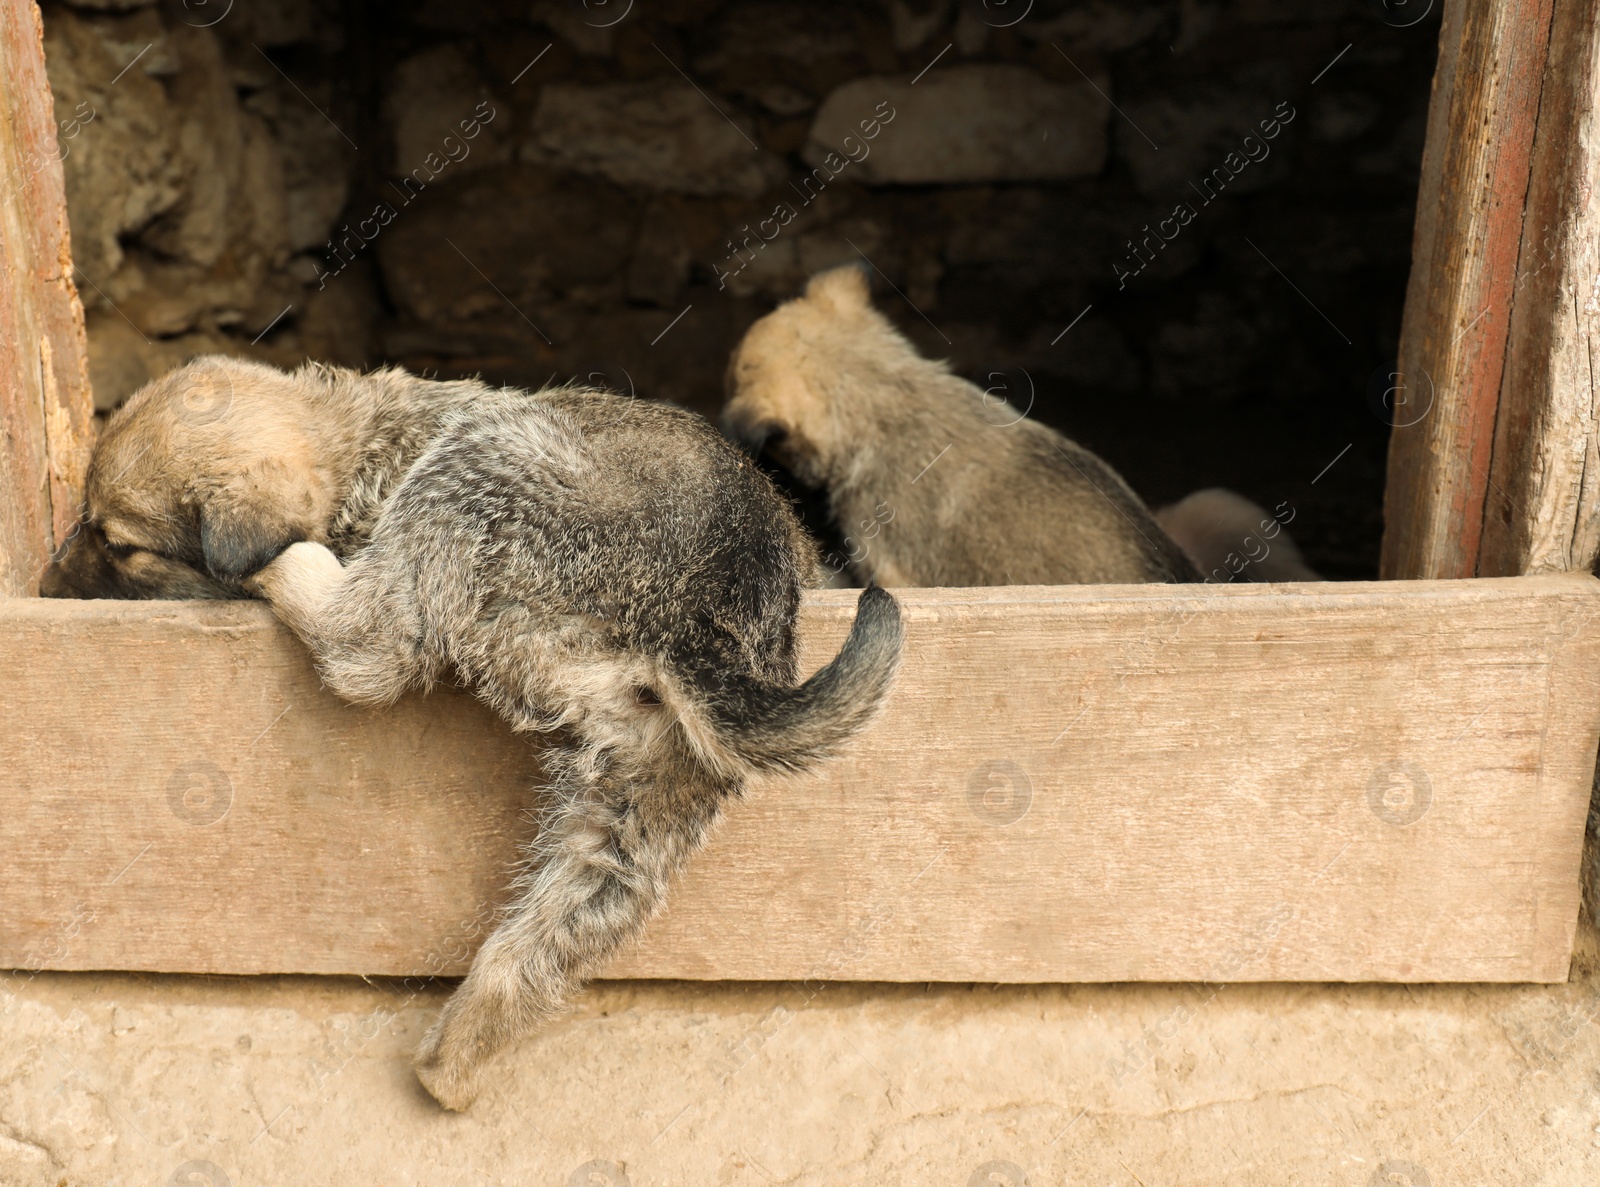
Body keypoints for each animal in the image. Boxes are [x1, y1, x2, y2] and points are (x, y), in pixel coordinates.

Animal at [243, 385, 908, 1113]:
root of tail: (696, 620)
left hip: (476, 468)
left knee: (367, 654)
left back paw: (290, 572)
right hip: (644, 806)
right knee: (536, 952)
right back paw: (450, 1068)